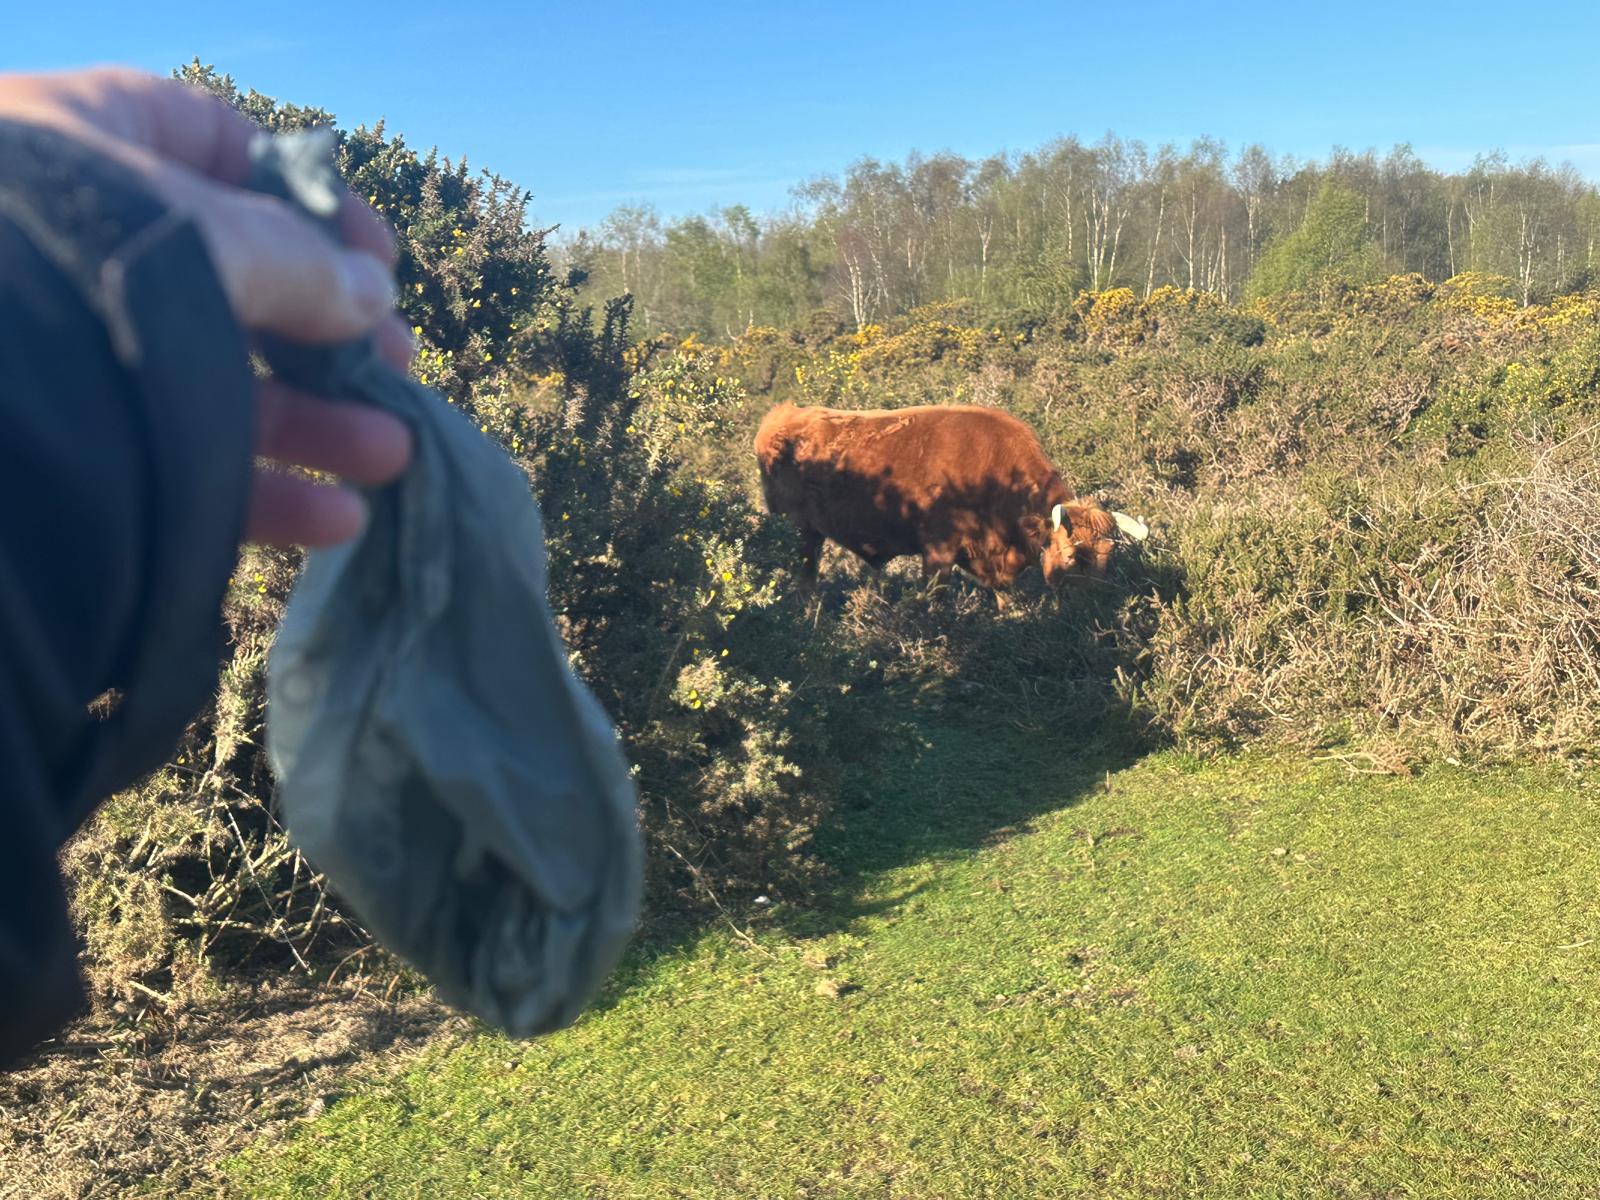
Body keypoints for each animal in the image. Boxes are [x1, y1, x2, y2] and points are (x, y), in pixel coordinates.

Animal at [753, 402, 1146, 606]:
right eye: (1070, 557)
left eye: (1106, 557)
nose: (1095, 606)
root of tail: (784, 414)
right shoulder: (938, 554)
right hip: (801, 533)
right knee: (806, 584)